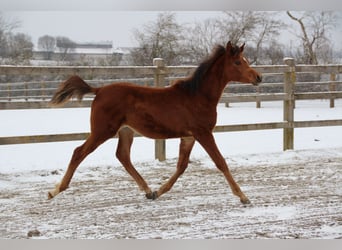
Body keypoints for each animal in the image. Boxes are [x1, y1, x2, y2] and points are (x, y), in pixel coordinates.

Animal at [47, 41, 262, 204]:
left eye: (245, 60)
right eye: (237, 62)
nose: (259, 77)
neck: (197, 96)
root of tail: (98, 90)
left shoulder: (189, 136)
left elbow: (181, 166)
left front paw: (159, 191)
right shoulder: (203, 133)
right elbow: (220, 162)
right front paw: (243, 196)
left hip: (126, 131)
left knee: (122, 156)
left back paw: (148, 190)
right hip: (103, 131)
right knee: (79, 152)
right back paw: (54, 191)